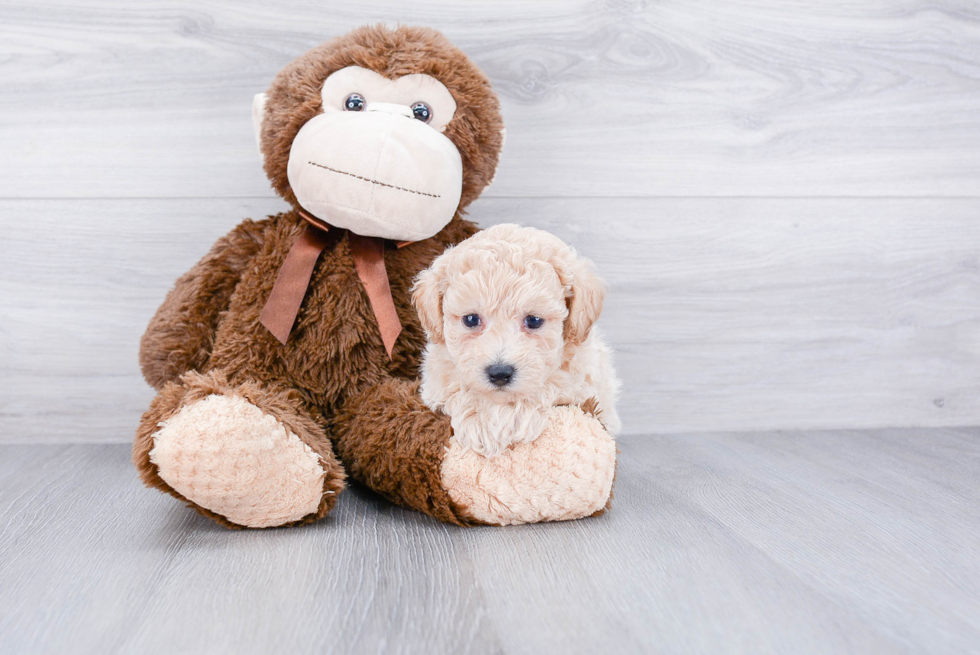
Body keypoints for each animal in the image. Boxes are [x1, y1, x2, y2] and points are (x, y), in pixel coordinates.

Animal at [414, 223, 620, 458]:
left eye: (534, 320)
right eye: (471, 319)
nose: (499, 373)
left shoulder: (581, 379)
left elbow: (551, 384)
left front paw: (513, 416)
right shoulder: (437, 380)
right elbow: (457, 387)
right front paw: (481, 419)